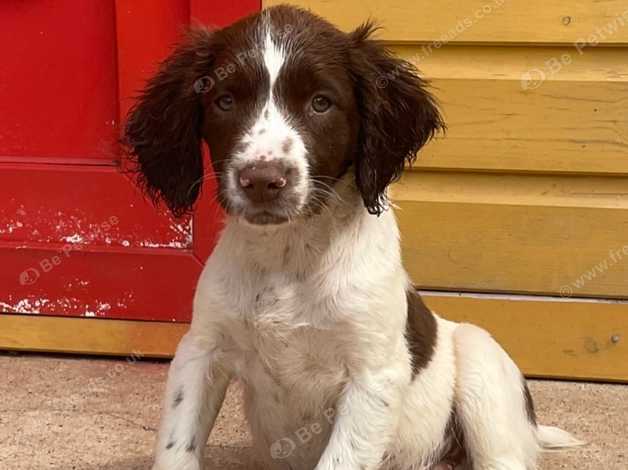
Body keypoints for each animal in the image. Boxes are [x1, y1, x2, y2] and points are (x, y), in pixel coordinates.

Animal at [124, 4, 584, 470]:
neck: (290, 253)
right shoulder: (200, 349)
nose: (262, 181)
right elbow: (176, 447)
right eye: (225, 101)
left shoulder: (373, 375)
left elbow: (342, 457)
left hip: (480, 365)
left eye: (321, 103)